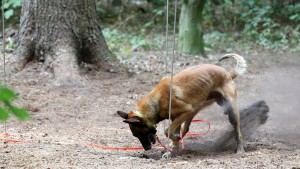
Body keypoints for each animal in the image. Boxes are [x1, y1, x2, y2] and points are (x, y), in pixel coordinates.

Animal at [118, 53, 247, 155]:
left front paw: (173, 144)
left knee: (238, 131)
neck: (156, 102)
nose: (146, 149)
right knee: (186, 129)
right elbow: (172, 132)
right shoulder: (176, 117)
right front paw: (172, 149)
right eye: (135, 136)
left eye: (139, 134)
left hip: (231, 112)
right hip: (196, 110)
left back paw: (240, 149)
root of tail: (228, 74)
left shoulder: (186, 111)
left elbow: (167, 131)